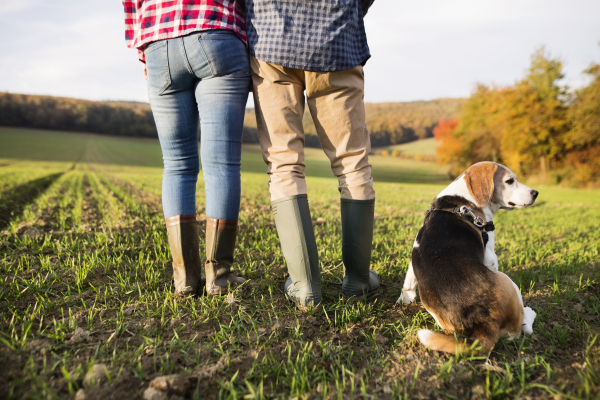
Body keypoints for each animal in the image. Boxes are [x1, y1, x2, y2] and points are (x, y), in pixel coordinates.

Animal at [398, 161, 540, 354]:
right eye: (510, 181)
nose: (536, 193)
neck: (463, 201)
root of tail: (485, 323)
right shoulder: (490, 255)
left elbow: (409, 279)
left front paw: (405, 299)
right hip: (507, 280)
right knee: (522, 328)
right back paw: (529, 313)